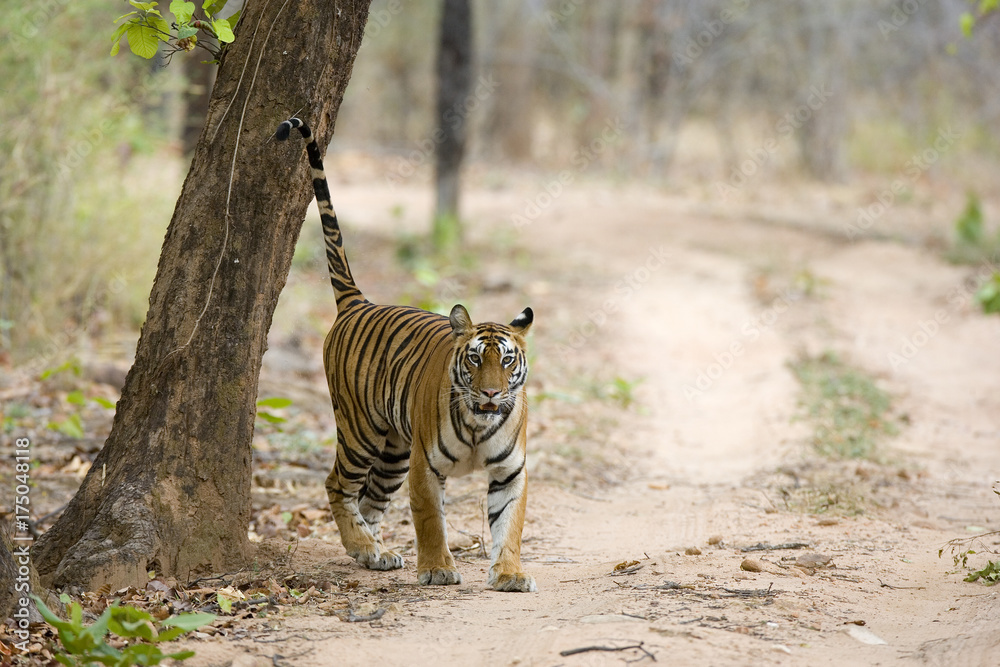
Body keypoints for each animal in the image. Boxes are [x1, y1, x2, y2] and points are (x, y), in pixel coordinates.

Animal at [275, 117, 536, 592]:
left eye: (507, 360)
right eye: (475, 359)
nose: (491, 394)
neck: (478, 423)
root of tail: (358, 302)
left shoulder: (511, 473)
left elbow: (510, 526)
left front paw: (510, 574)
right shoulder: (424, 466)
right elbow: (429, 518)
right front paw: (437, 568)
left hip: (393, 451)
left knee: (369, 500)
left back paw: (374, 552)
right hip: (360, 432)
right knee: (337, 484)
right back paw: (364, 547)